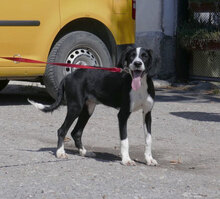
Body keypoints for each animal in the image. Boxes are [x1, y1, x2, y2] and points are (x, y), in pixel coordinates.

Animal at [28, 47, 157, 166]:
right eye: (132, 56)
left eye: (144, 56)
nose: (137, 63)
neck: (141, 86)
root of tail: (69, 76)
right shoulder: (123, 114)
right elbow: (125, 140)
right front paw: (126, 160)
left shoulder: (147, 114)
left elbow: (149, 138)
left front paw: (149, 159)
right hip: (75, 107)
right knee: (62, 130)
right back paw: (60, 152)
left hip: (88, 109)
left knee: (76, 132)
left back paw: (84, 152)